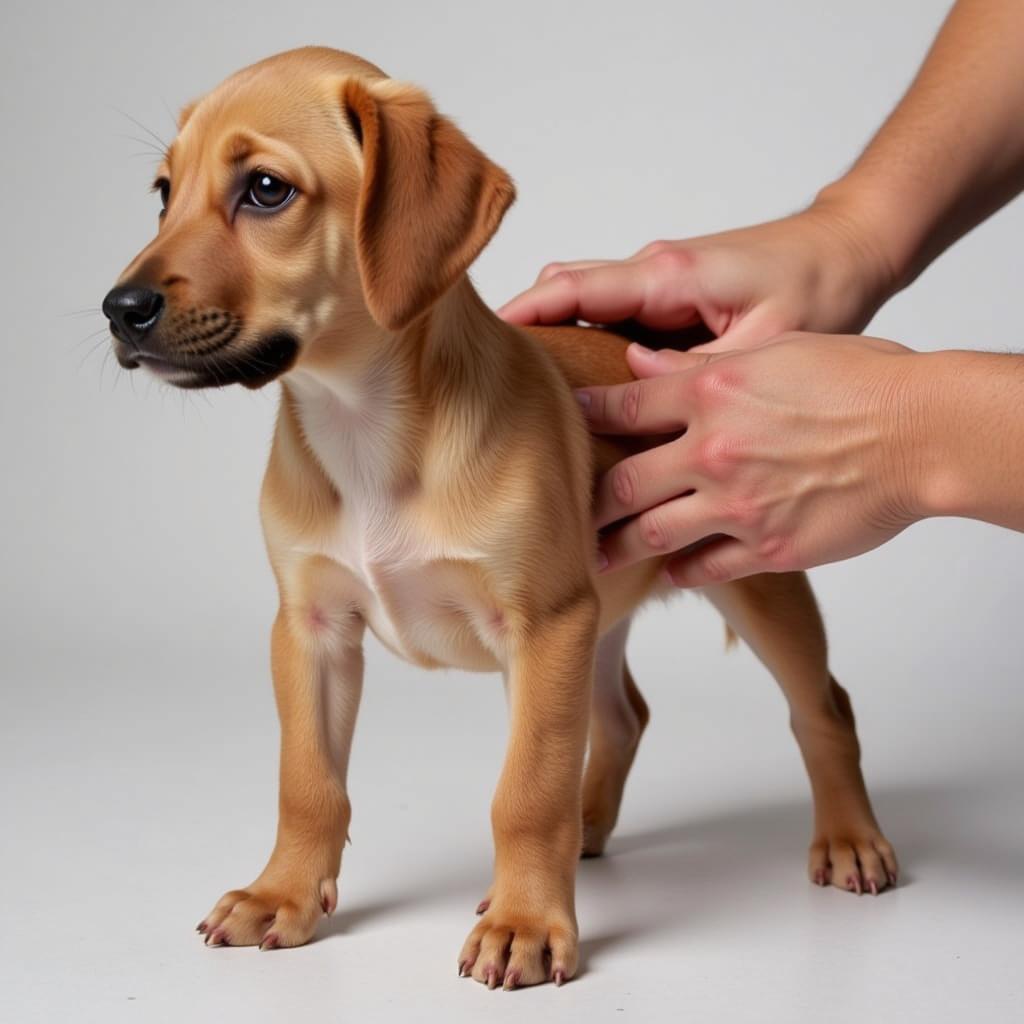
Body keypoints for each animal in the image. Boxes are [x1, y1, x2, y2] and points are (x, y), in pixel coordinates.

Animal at [101, 46, 897, 983]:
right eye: (163, 192)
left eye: (265, 189)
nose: (119, 309)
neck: (362, 427)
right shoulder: (312, 628)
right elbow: (308, 782)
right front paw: (281, 894)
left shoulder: (542, 626)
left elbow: (525, 790)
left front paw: (526, 921)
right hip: (595, 618)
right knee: (623, 714)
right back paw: (589, 828)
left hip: (750, 585)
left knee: (823, 706)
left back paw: (848, 839)